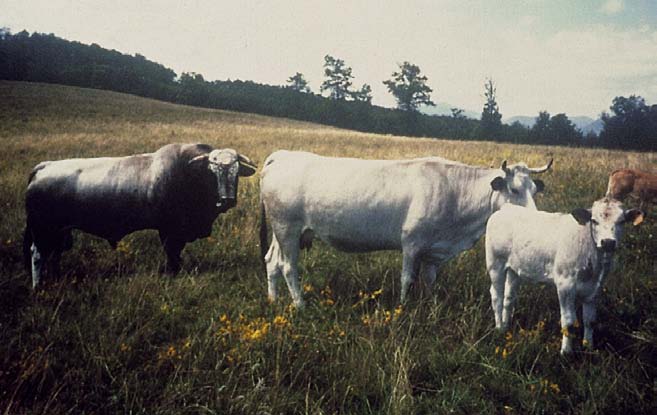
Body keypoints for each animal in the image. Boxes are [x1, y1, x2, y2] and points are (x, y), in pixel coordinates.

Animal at [23, 143, 255, 290]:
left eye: (235, 172)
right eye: (213, 171)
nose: (227, 199)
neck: (189, 175)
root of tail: (44, 167)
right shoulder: (169, 230)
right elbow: (172, 254)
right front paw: (172, 273)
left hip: (59, 232)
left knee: (54, 254)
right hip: (43, 230)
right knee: (37, 254)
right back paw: (38, 286)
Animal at [258, 151, 552, 308]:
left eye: (534, 189)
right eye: (514, 189)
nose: (535, 218)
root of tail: (283, 155)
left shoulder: (434, 252)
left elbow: (429, 280)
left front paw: (431, 305)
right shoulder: (411, 243)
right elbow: (407, 278)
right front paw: (402, 307)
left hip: (284, 232)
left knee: (271, 261)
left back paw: (273, 300)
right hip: (287, 228)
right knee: (288, 267)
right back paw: (300, 305)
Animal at [484, 198, 644, 354]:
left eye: (621, 221)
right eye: (594, 221)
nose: (608, 242)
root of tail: (508, 208)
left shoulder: (595, 288)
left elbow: (590, 320)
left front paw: (588, 347)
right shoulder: (565, 284)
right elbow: (569, 322)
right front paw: (566, 352)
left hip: (515, 269)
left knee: (509, 297)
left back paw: (506, 326)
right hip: (495, 263)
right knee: (496, 296)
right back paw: (499, 328)